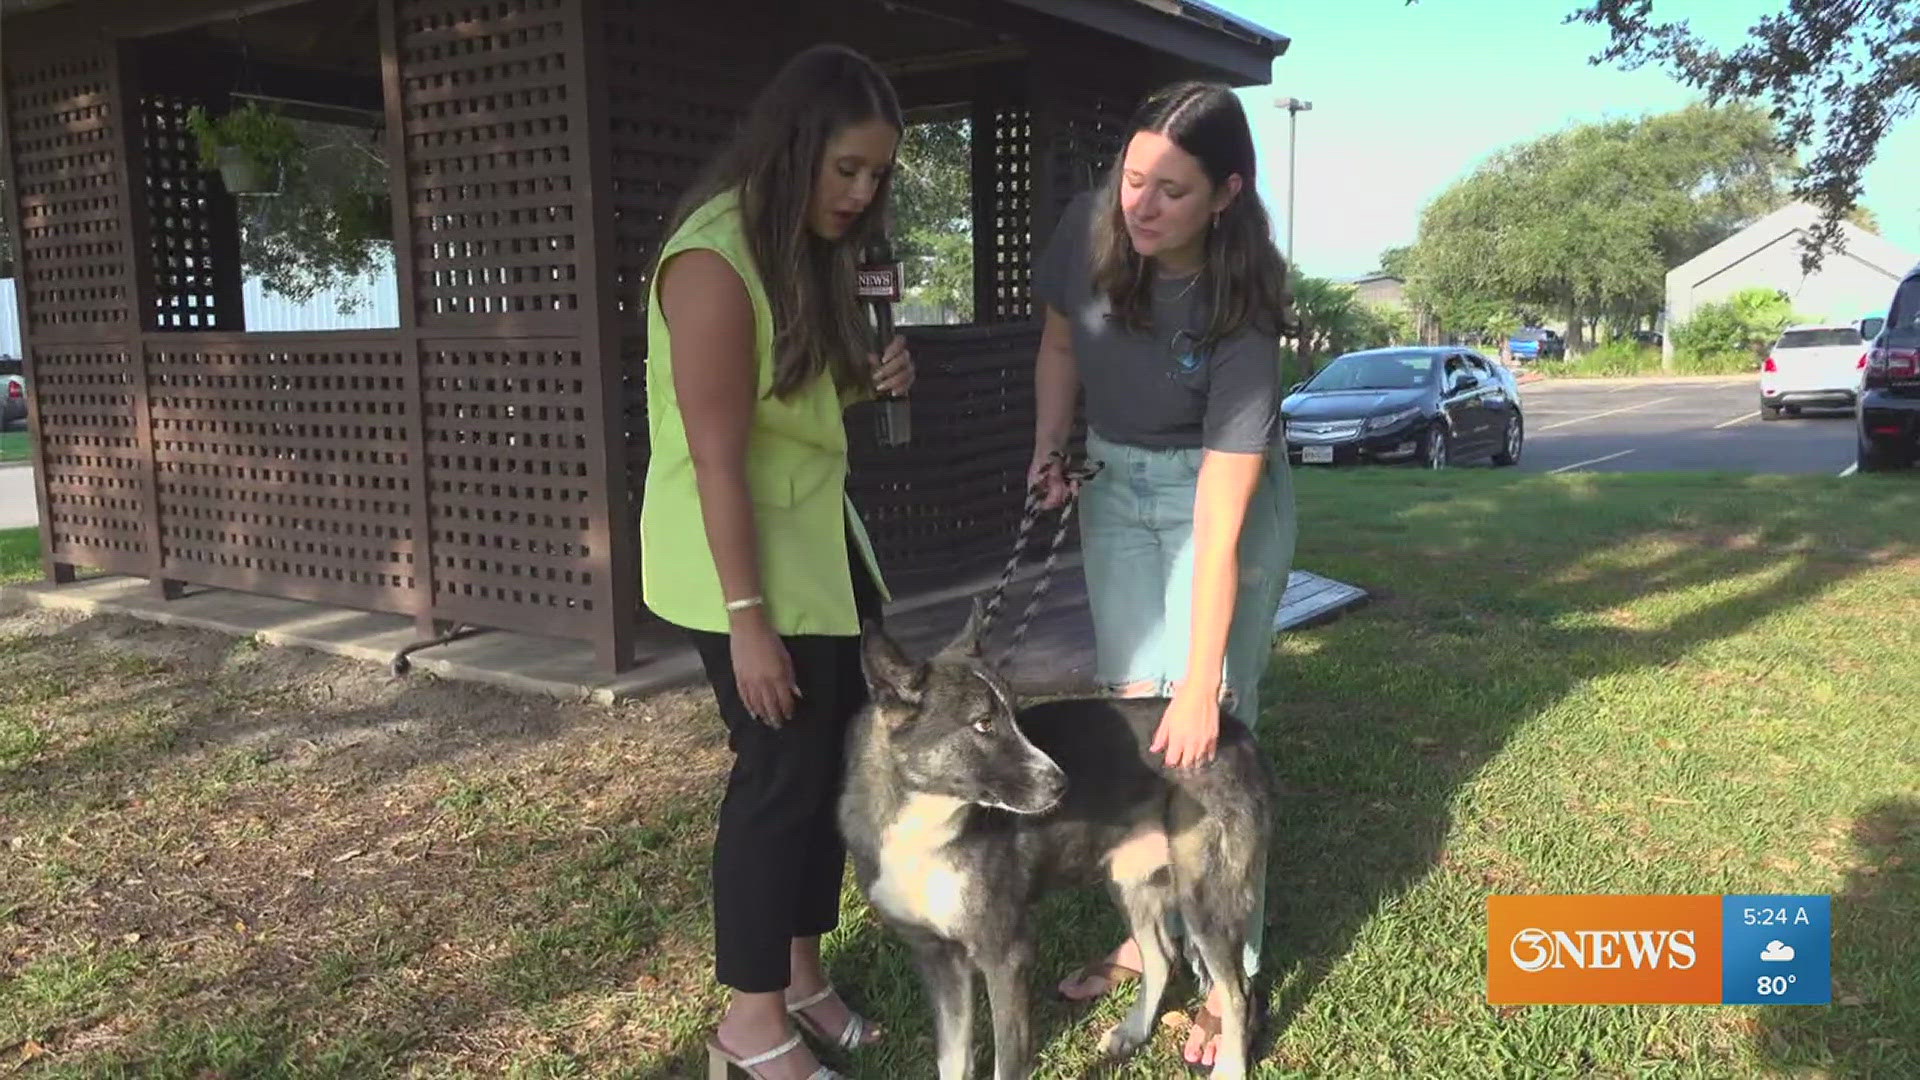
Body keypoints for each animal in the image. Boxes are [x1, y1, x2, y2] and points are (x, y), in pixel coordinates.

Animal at [840, 599, 1274, 1068]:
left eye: (1015, 716)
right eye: (983, 724)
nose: (1062, 785)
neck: (926, 825)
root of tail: (1235, 730)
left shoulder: (1005, 955)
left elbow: (1007, 1061)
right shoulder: (938, 960)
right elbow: (953, 1061)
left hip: (1205, 897)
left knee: (1237, 992)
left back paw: (1229, 1066)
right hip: (1130, 884)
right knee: (1161, 957)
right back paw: (1133, 1032)